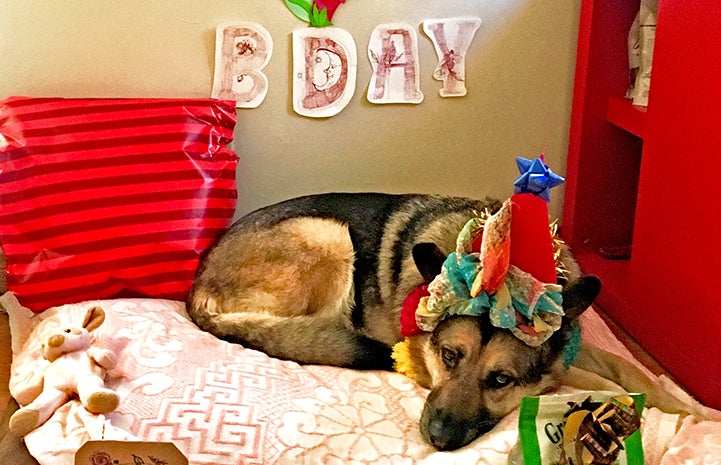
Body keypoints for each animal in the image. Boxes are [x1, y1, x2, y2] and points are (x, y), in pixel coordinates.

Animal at [188, 191, 696, 450]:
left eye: (500, 380)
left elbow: (627, 367)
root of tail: (198, 291)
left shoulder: (572, 340)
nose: (436, 439)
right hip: (328, 235)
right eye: (450, 356)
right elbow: (585, 379)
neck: (498, 254)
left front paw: (690, 407)